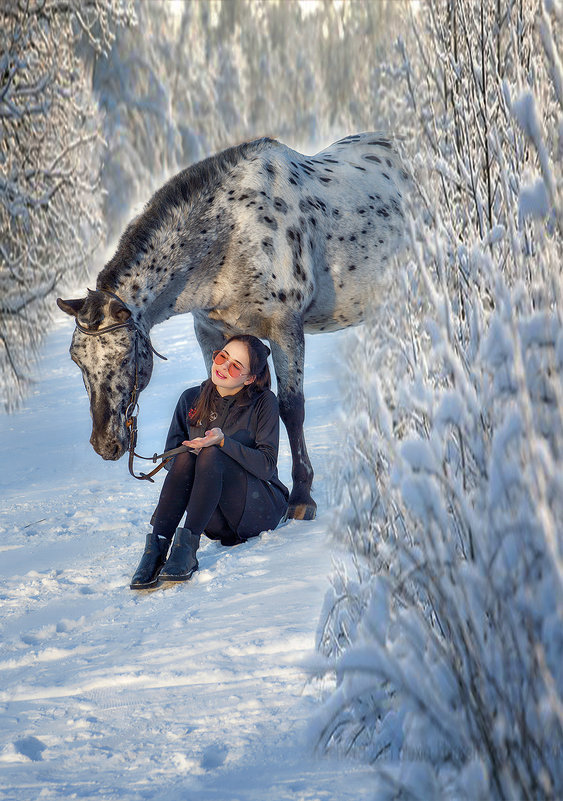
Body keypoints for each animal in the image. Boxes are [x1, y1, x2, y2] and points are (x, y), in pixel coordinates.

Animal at [57, 131, 410, 520]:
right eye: (77, 360)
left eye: (124, 357)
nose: (105, 443)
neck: (232, 235)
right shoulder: (210, 332)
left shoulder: (286, 328)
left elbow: (292, 410)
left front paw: (301, 497)